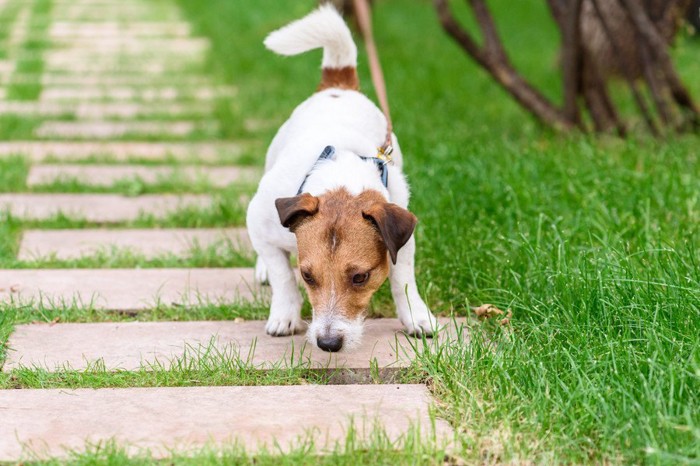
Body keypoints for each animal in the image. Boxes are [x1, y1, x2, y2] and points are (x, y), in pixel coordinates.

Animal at [246, 5, 438, 352]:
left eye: (360, 277)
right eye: (308, 276)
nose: (328, 343)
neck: (342, 176)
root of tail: (338, 85)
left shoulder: (403, 232)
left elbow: (403, 277)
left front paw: (416, 316)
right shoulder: (257, 215)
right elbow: (282, 275)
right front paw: (285, 314)